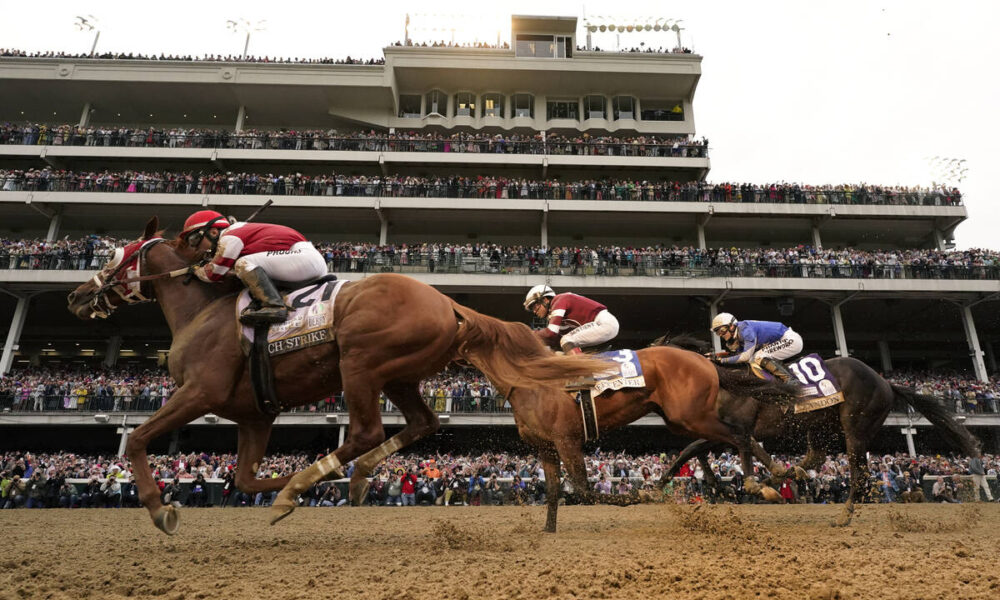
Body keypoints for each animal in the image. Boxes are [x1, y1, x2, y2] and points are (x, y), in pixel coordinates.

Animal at [66, 217, 610, 534]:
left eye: (113, 255)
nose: (76, 296)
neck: (202, 312)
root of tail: (447, 302)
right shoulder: (255, 415)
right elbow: (243, 476)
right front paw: (292, 485)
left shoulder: (198, 391)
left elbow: (139, 440)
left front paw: (161, 508)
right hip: (396, 375)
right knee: (421, 423)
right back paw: (353, 477)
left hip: (360, 362)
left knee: (368, 430)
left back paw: (317, 482)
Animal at [498, 344, 797, 532]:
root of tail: (705, 363)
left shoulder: (565, 438)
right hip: (688, 418)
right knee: (728, 439)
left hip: (691, 417)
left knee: (737, 435)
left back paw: (761, 480)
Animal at [653, 335, 982, 525]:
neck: (723, 379)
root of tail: (885, 382)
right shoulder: (718, 427)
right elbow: (692, 449)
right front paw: (670, 485)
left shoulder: (738, 426)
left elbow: (736, 448)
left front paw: (750, 483)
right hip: (820, 424)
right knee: (817, 458)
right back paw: (789, 474)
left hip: (856, 427)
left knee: (860, 474)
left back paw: (842, 515)